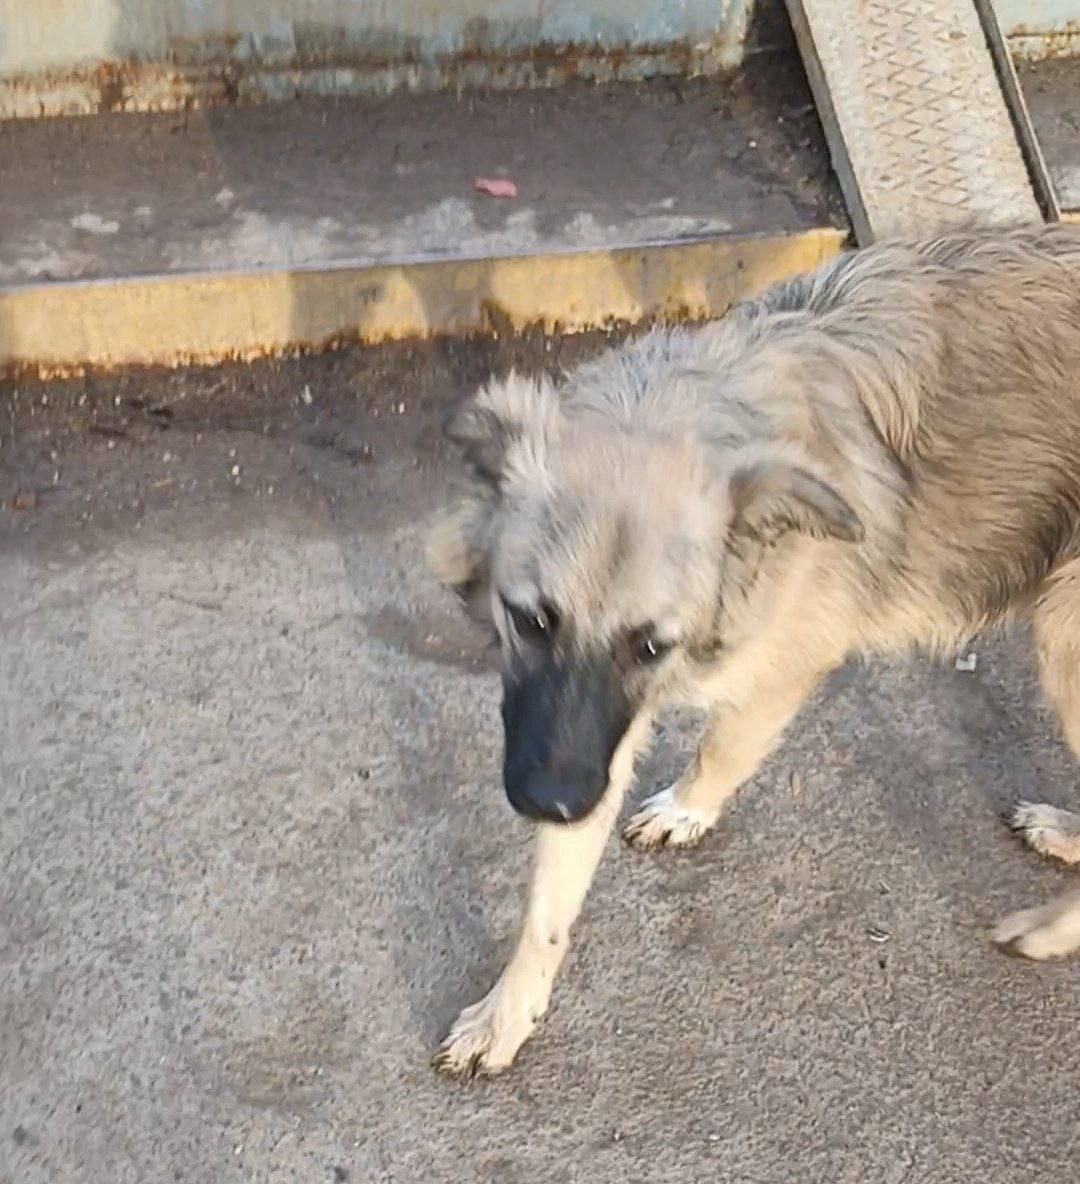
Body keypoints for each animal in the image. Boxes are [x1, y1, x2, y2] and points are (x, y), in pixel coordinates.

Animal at [427, 223, 1080, 1078]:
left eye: (649, 642)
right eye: (531, 620)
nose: (555, 803)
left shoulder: (775, 670)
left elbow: (723, 748)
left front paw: (689, 808)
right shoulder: (588, 730)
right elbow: (549, 905)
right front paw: (509, 1014)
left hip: (1064, 643)